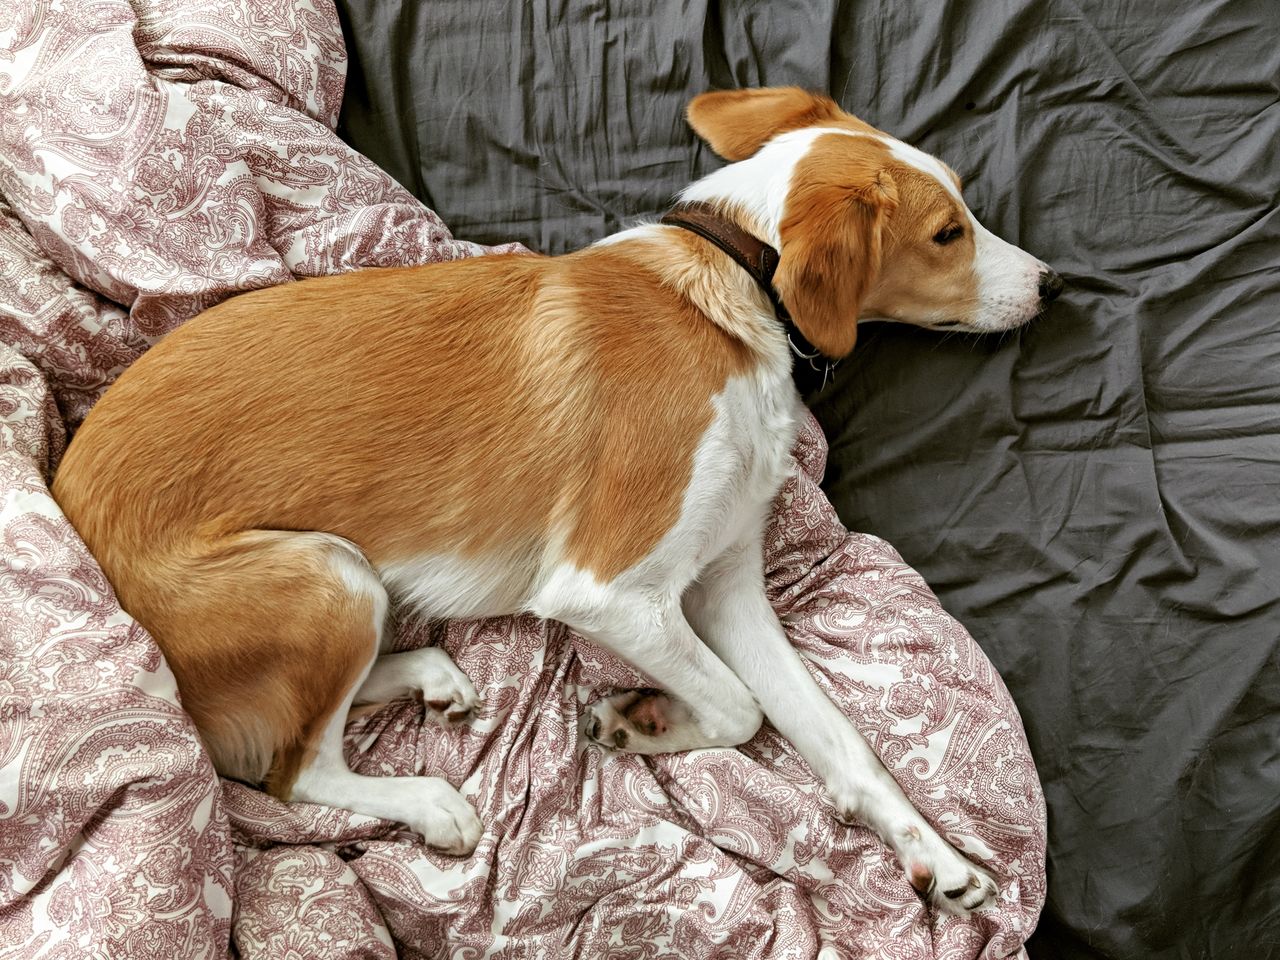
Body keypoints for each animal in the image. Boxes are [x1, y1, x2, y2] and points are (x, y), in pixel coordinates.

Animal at [52, 86, 1059, 911]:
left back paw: (428, 675)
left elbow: (836, 736)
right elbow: (741, 709)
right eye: (948, 233)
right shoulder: (607, 591)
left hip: (344, 588)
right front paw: (645, 720)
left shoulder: (729, 587)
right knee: (289, 771)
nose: (1055, 283)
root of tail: (62, 487)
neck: (733, 284)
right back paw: (428, 801)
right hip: (324, 576)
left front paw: (935, 854)